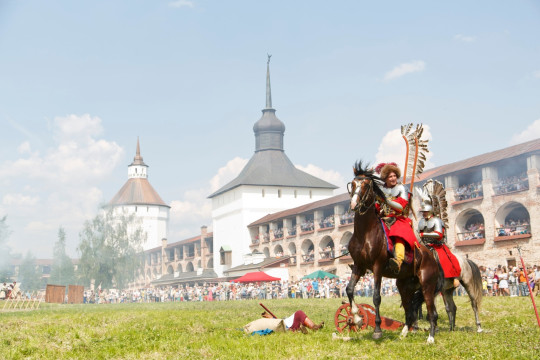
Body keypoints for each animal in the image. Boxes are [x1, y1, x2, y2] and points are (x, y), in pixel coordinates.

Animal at [346, 162, 442, 344]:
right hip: (405, 286)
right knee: (409, 312)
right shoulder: (359, 266)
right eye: (353, 184)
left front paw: (377, 330)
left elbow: (376, 297)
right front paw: (356, 318)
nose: (354, 204)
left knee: (432, 313)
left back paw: (431, 338)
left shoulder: (377, 267)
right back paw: (403, 334)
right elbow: (349, 290)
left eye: (366, 184)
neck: (365, 232)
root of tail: (431, 256)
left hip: (427, 286)